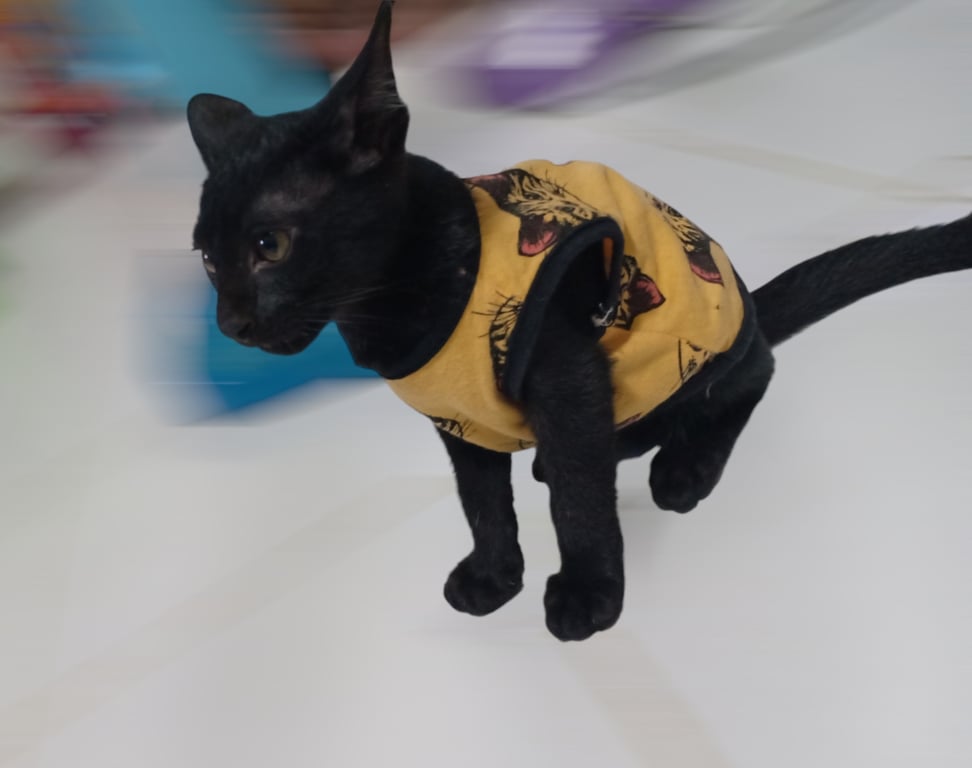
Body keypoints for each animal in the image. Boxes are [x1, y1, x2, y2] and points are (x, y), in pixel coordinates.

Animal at [186, 1, 972, 641]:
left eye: (269, 246)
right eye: (206, 258)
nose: (231, 324)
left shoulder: (566, 379)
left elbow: (579, 499)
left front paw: (590, 594)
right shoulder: (460, 421)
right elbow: (483, 501)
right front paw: (495, 576)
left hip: (702, 358)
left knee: (750, 377)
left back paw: (685, 467)